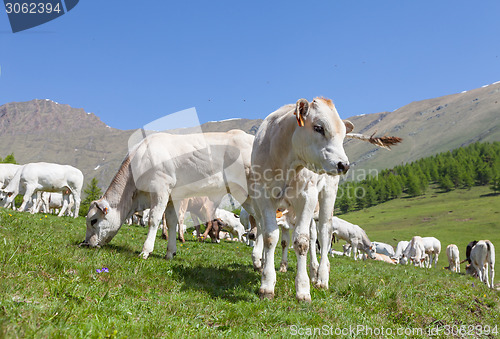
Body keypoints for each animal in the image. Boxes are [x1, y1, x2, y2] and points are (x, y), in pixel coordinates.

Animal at [82, 130, 256, 260]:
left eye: (93, 220)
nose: (86, 243)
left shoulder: (160, 189)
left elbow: (154, 220)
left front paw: (145, 251)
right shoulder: (171, 197)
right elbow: (172, 222)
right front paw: (170, 253)